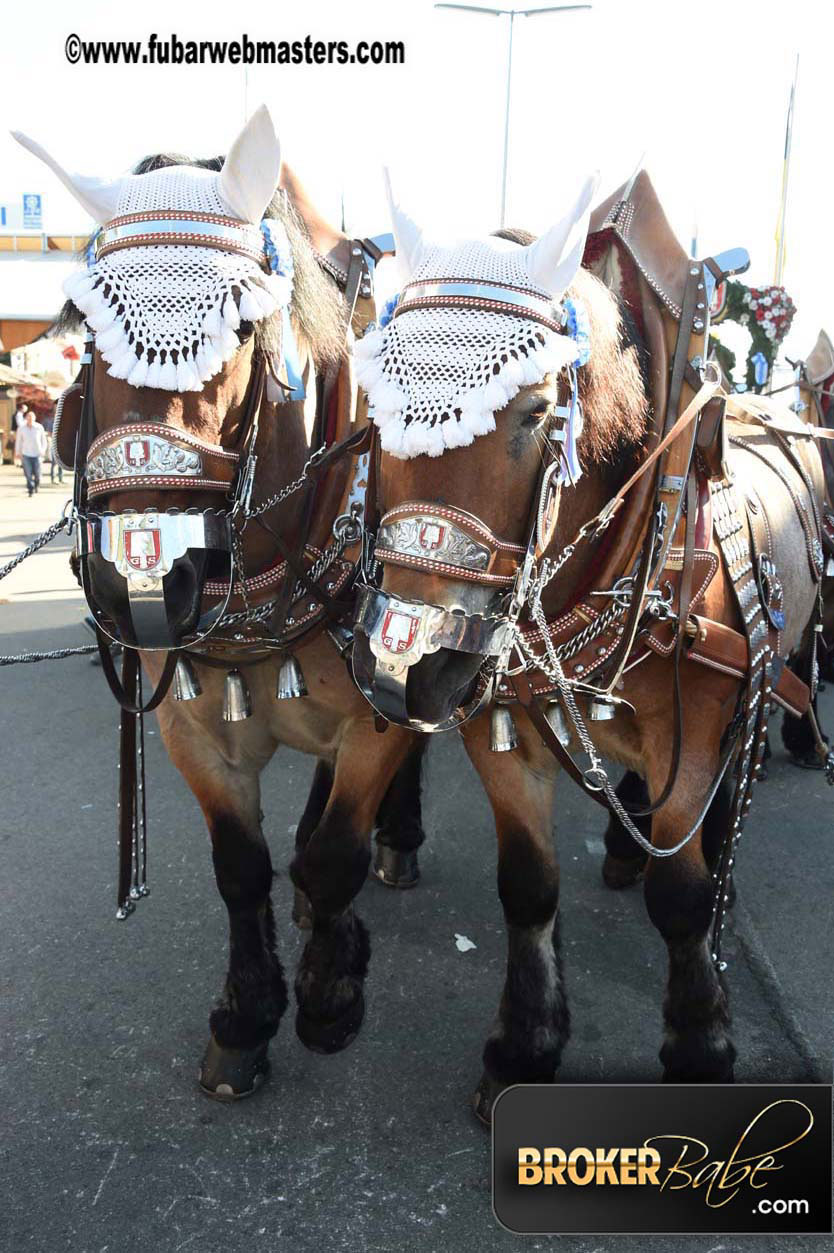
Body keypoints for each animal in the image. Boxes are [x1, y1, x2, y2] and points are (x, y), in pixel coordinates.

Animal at [19, 112, 423, 1102]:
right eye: (85, 326)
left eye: (240, 323)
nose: (141, 574)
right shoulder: (192, 728)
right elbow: (242, 867)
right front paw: (245, 1017)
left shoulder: (384, 706)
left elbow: (335, 852)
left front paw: (328, 997)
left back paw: (397, 842)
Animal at [345, 174, 826, 1117]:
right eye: (375, 411)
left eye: (536, 413)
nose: (406, 666)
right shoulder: (496, 721)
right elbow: (527, 886)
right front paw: (525, 1043)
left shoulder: (692, 729)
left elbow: (681, 896)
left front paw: (700, 1040)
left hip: (767, 669)